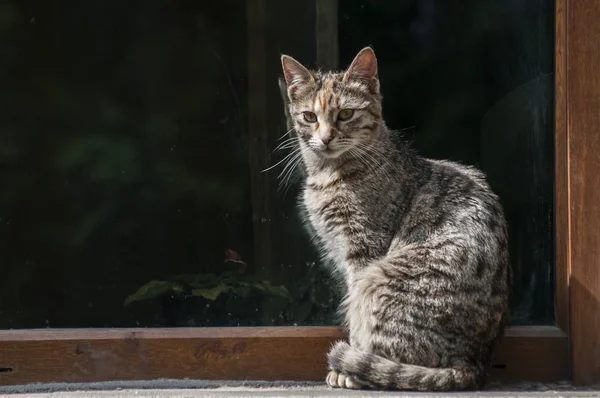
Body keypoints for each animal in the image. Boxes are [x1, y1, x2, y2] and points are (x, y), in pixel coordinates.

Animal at [278, 47, 512, 392]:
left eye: (345, 114)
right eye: (309, 117)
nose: (326, 138)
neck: (328, 174)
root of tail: (472, 365)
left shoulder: (363, 253)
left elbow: (355, 320)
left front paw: (349, 367)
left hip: (378, 281)